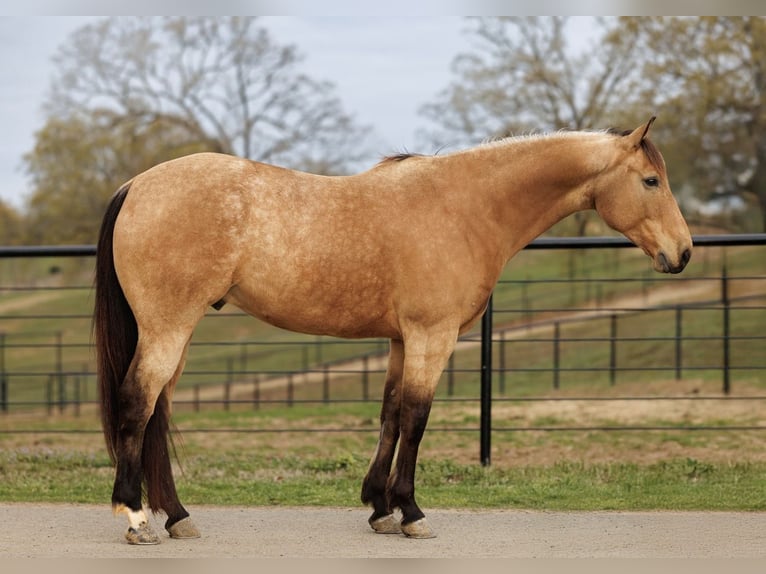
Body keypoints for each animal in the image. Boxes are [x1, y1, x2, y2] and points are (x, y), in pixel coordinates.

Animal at [94, 117, 692, 544]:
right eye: (651, 181)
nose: (683, 252)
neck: (465, 207)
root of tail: (137, 184)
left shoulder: (402, 340)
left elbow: (389, 415)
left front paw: (379, 507)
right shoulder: (432, 336)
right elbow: (416, 418)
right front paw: (410, 511)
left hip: (176, 333)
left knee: (156, 413)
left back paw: (177, 516)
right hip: (168, 328)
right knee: (137, 404)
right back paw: (137, 518)